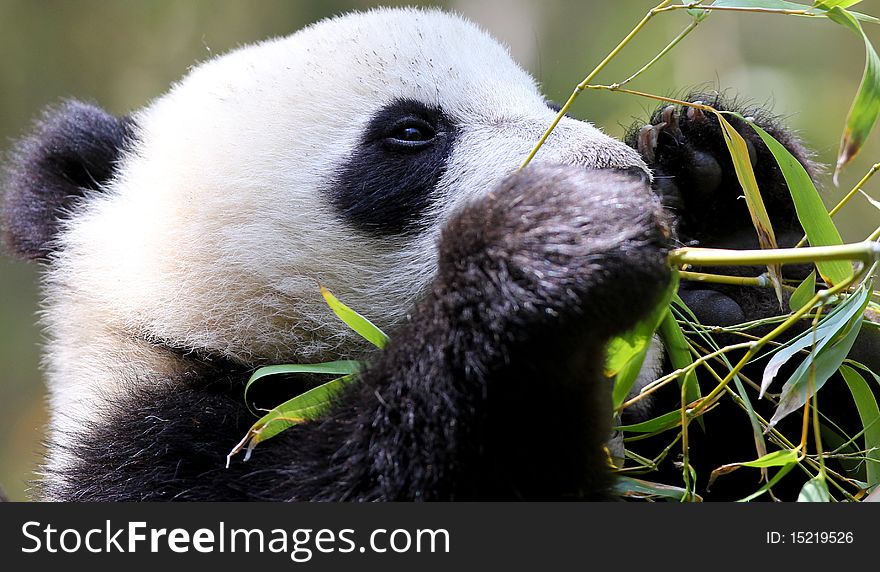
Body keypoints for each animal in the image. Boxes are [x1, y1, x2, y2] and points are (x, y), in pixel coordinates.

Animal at [0, 7, 868, 500]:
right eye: (411, 131)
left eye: (544, 102)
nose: (624, 174)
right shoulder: (156, 455)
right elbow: (373, 478)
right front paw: (550, 243)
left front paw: (724, 188)